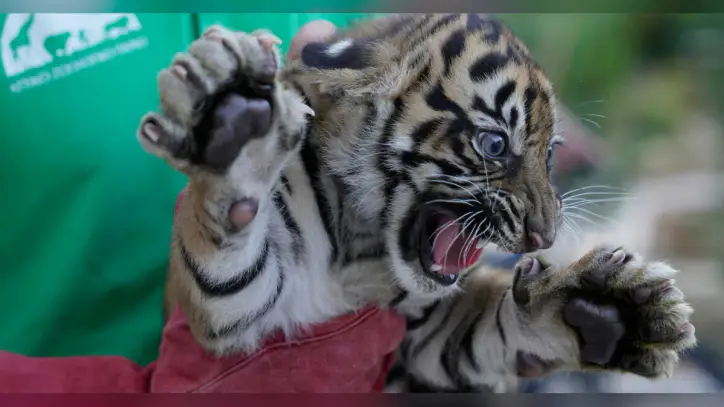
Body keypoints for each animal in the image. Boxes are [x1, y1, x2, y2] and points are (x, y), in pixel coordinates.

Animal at [136, 14, 696, 392]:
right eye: (495, 144)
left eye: (551, 153)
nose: (545, 236)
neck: (360, 246)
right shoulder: (234, 311)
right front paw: (233, 117)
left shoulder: (424, 332)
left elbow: (498, 324)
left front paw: (609, 308)